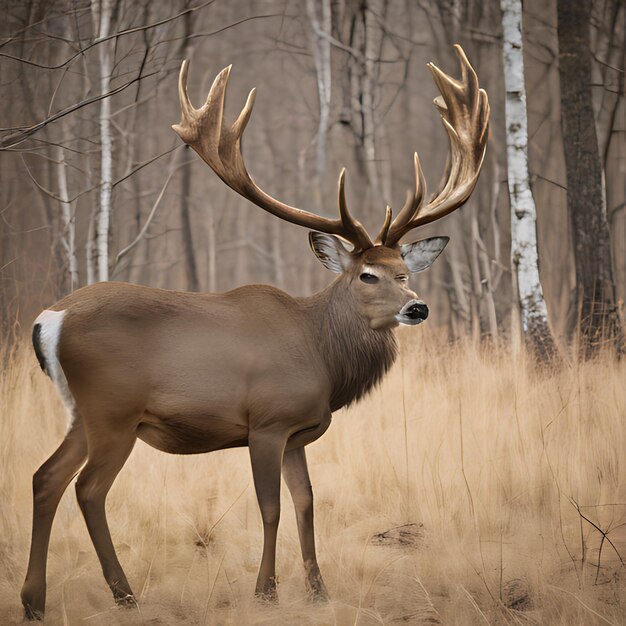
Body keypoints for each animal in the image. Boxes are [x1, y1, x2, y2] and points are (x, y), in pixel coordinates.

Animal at [20, 45, 488, 620]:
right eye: (366, 274)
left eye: (405, 271)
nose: (417, 307)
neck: (321, 353)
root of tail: (49, 320)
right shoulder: (266, 422)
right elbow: (271, 508)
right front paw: (266, 591)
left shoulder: (299, 432)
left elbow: (307, 502)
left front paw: (318, 589)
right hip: (113, 409)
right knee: (88, 488)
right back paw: (124, 594)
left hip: (81, 412)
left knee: (46, 478)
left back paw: (34, 601)